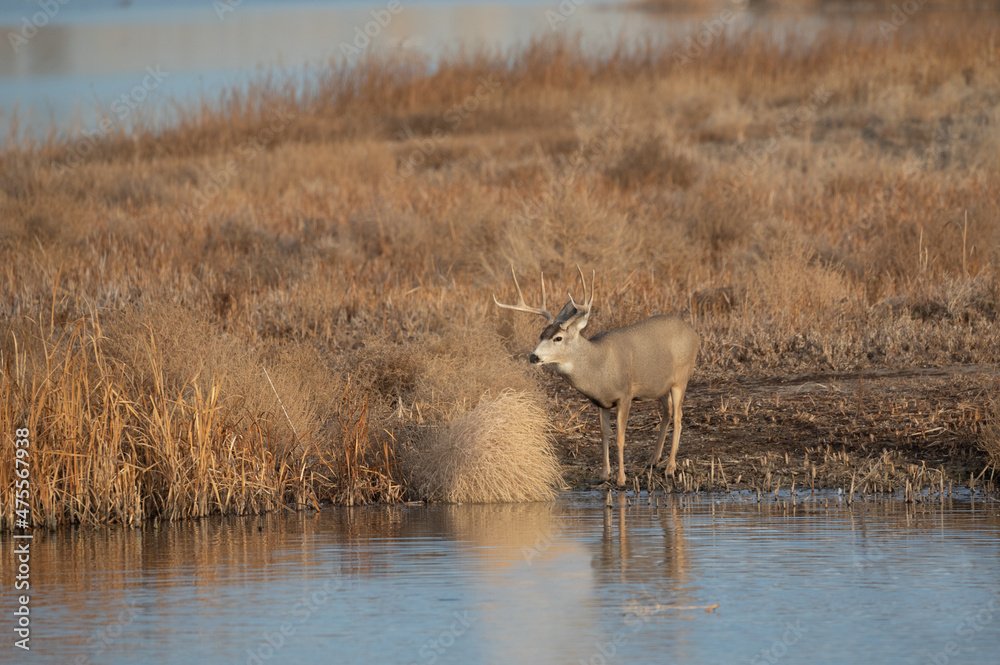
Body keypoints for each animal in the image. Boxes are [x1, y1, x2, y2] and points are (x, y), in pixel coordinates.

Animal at [494, 266, 700, 487]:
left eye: (558, 338)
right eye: (541, 335)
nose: (533, 356)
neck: (599, 367)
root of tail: (693, 331)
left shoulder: (625, 395)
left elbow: (620, 436)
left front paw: (621, 479)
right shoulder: (601, 402)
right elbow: (604, 434)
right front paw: (603, 474)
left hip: (681, 378)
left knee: (678, 416)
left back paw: (670, 468)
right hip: (659, 385)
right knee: (667, 412)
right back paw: (653, 460)